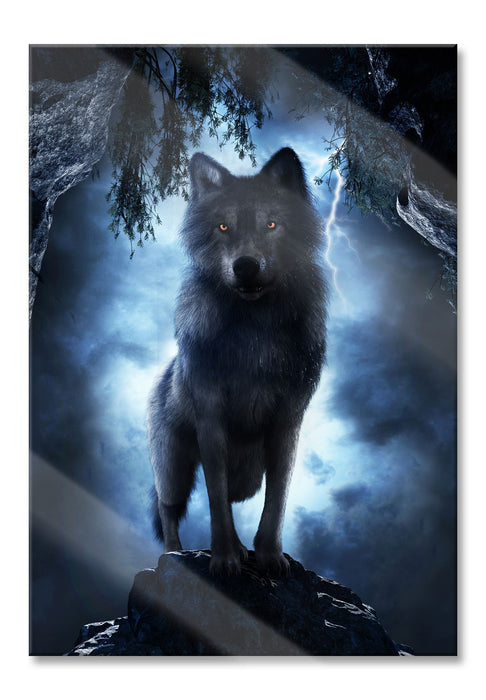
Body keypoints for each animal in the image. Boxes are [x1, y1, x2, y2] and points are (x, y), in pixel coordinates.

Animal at [147, 147, 327, 576]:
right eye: (223, 227)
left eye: (272, 224)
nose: (245, 266)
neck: (255, 333)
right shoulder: (211, 420)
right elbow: (214, 498)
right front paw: (225, 558)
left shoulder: (287, 422)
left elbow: (276, 499)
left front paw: (269, 557)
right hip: (174, 467)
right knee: (168, 508)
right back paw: (172, 556)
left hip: (246, 470)